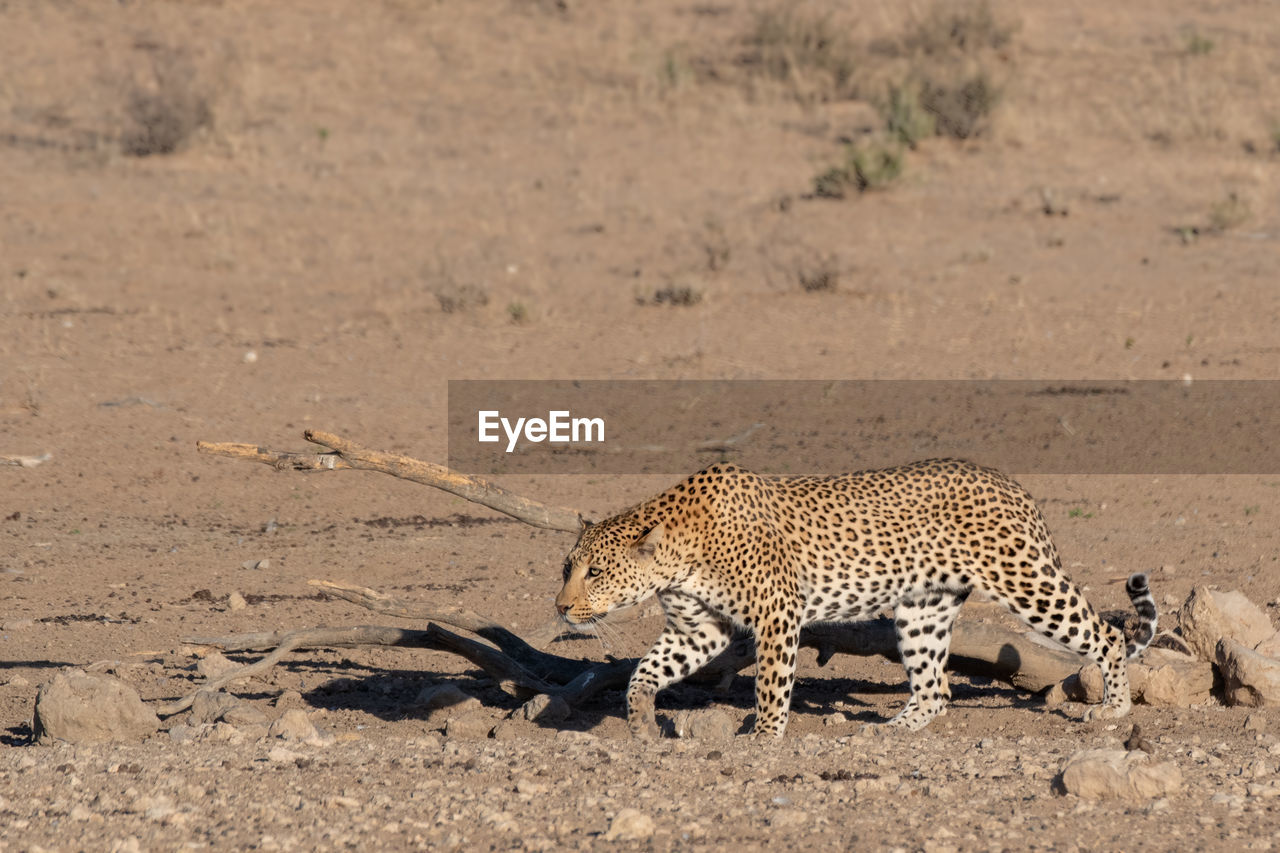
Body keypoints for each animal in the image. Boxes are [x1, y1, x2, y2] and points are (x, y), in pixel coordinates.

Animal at [555, 458, 1157, 737]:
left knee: (1106, 633)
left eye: (596, 572)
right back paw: (892, 731)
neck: (678, 559)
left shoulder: (777, 614)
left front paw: (765, 738)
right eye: (567, 569)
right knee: (935, 687)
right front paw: (640, 722)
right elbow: (644, 671)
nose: (561, 606)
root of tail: (1011, 484)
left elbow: (771, 684)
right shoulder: (698, 630)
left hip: (1026, 581)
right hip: (923, 607)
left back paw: (1114, 708)